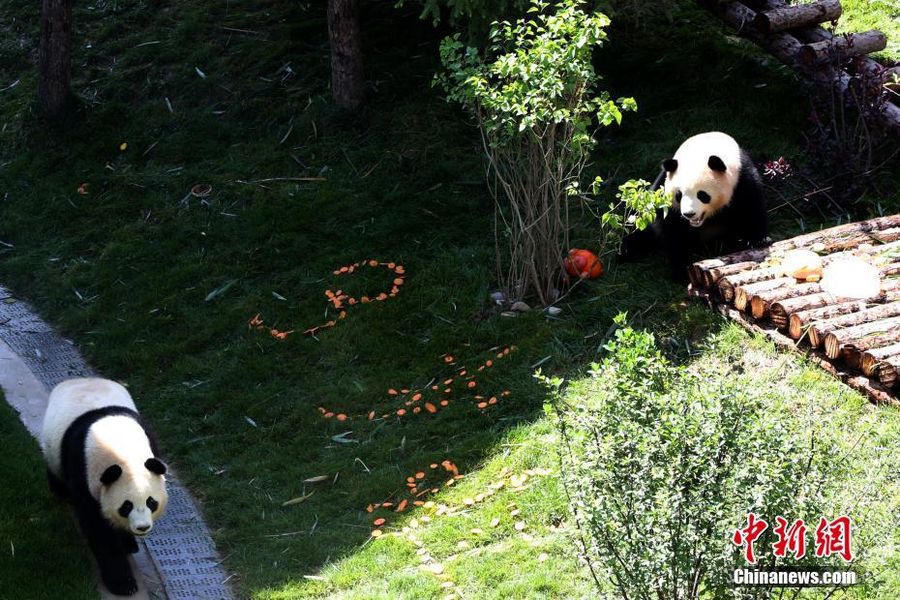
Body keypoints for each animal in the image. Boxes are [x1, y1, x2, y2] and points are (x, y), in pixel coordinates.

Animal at [40, 378, 168, 592]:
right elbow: (98, 527)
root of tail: (79, 379)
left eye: (151, 502)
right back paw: (60, 492)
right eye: (126, 506)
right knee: (55, 470)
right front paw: (123, 583)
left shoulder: (151, 446)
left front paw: (127, 540)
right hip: (52, 448)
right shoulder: (82, 468)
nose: (142, 527)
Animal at [620, 131, 772, 278]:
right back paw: (626, 251)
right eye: (679, 195)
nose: (689, 214)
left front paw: (758, 241)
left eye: (702, 195)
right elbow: (673, 232)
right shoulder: (664, 192)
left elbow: (752, 208)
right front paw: (681, 271)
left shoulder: (741, 178)